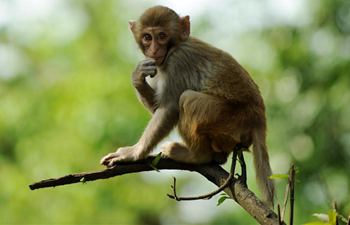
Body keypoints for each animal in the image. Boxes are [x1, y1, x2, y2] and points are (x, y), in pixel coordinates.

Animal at [100, 5, 274, 206]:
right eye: (147, 37)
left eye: (161, 36)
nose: (154, 49)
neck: (174, 48)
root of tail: (259, 117)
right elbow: (158, 106)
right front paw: (137, 77)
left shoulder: (178, 61)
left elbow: (169, 109)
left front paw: (133, 153)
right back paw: (218, 156)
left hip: (232, 119)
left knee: (187, 99)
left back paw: (197, 156)